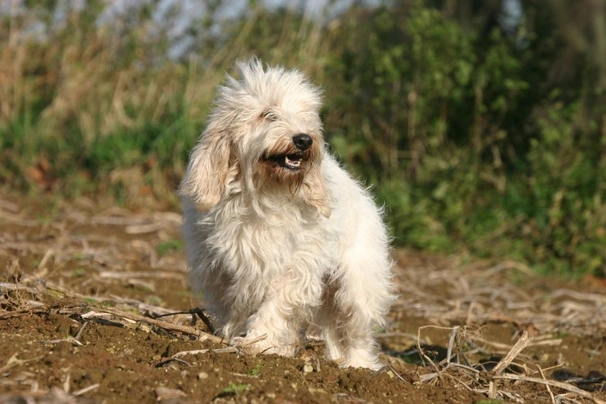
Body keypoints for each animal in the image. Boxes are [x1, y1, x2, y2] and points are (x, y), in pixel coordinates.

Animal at [180, 58, 400, 370]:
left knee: (358, 332)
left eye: (306, 116)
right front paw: (237, 338)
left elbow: (274, 307)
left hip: (357, 286)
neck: (265, 194)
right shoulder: (223, 270)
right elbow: (234, 308)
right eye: (268, 114)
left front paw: (258, 343)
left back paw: (358, 366)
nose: (304, 139)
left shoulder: (295, 268)